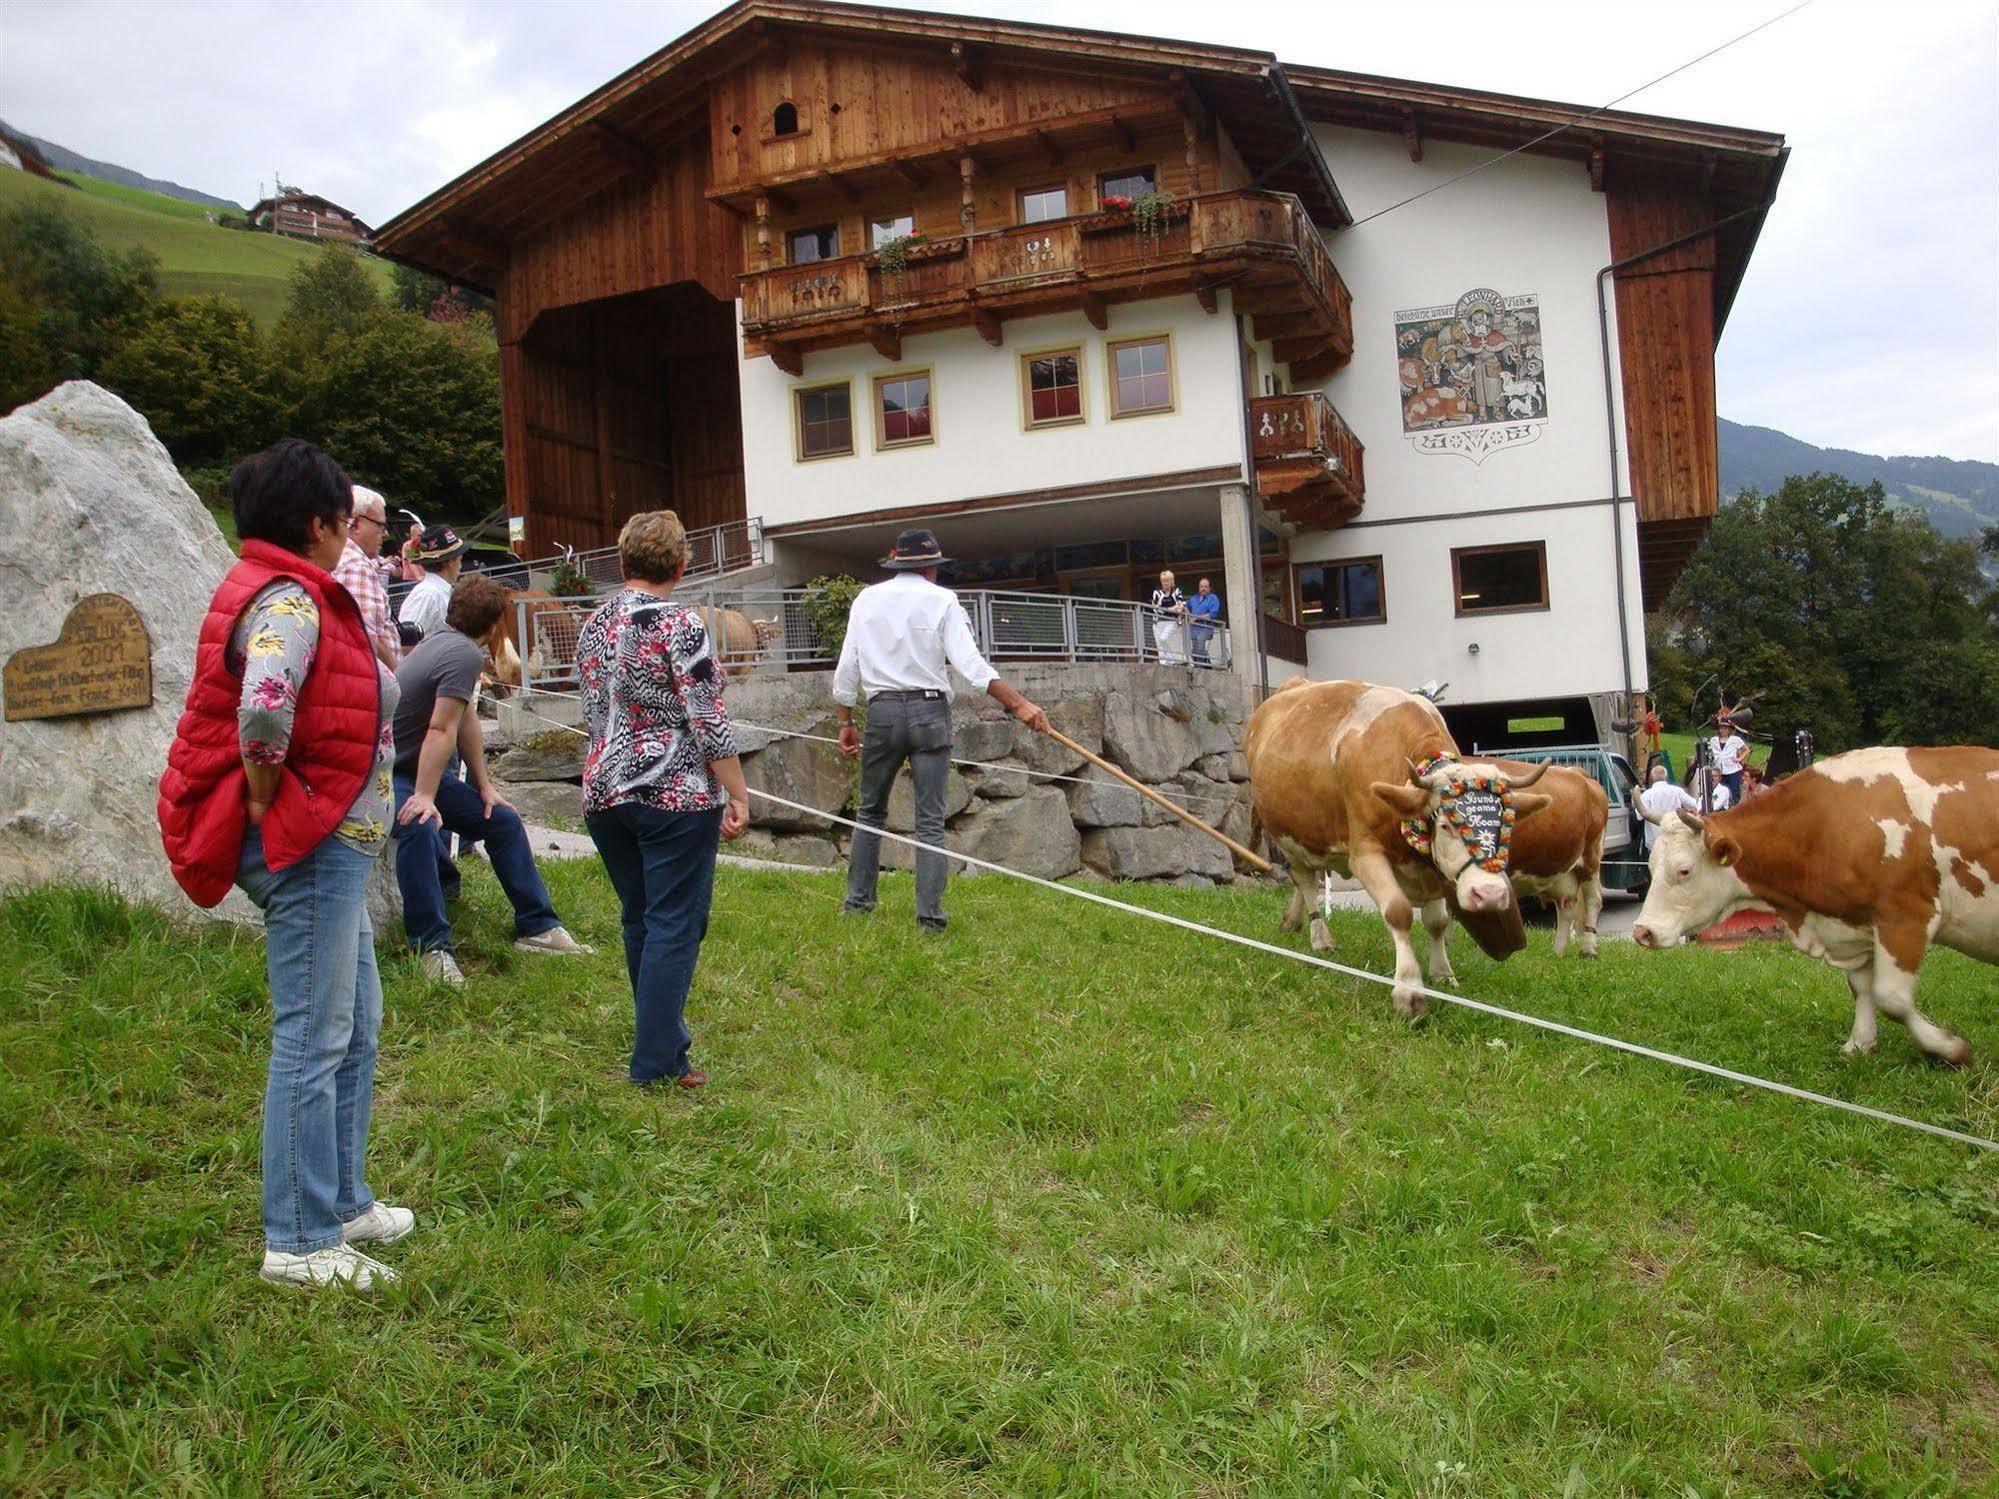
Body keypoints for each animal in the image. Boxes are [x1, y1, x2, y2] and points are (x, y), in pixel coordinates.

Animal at [1247, 679, 1559, 1023]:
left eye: (1506, 825)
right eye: (1446, 825)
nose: (1490, 895)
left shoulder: (1431, 867)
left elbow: (1438, 922)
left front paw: (1443, 973)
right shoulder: (1365, 854)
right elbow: (1398, 912)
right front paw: (1409, 991)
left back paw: (1292, 921)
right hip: (1285, 834)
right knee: (1303, 879)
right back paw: (1320, 937)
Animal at [1503, 763, 1607, 963]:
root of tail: (1576, 771)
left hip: (1590, 856)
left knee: (1594, 899)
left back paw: (1589, 949)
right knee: (1566, 906)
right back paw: (1558, 953)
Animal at [1639, 751, 1999, 1071]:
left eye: (1683, 871)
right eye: (1650, 864)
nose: (1642, 932)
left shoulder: (1905, 918)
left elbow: (1892, 998)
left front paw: (1949, 1049)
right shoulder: (1855, 924)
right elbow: (1862, 987)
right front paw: (1860, 1043)